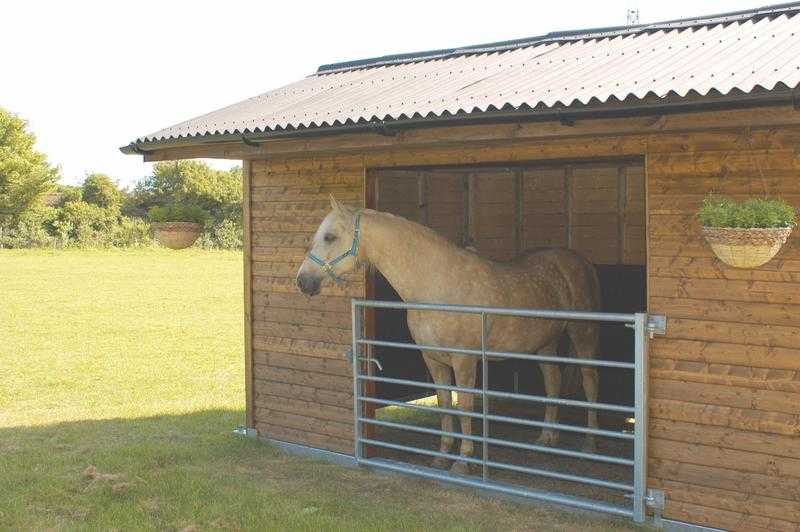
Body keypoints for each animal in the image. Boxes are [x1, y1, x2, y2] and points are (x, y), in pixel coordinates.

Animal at [296, 196, 600, 474]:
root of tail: (581, 262)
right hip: (545, 343)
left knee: (589, 381)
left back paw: (590, 443)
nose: (302, 281)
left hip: (582, 335)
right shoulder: (433, 359)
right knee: (553, 381)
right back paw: (547, 437)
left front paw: (464, 460)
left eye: (330, 236)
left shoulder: (464, 361)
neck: (435, 283)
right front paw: (442, 455)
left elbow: (464, 405)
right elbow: (444, 403)